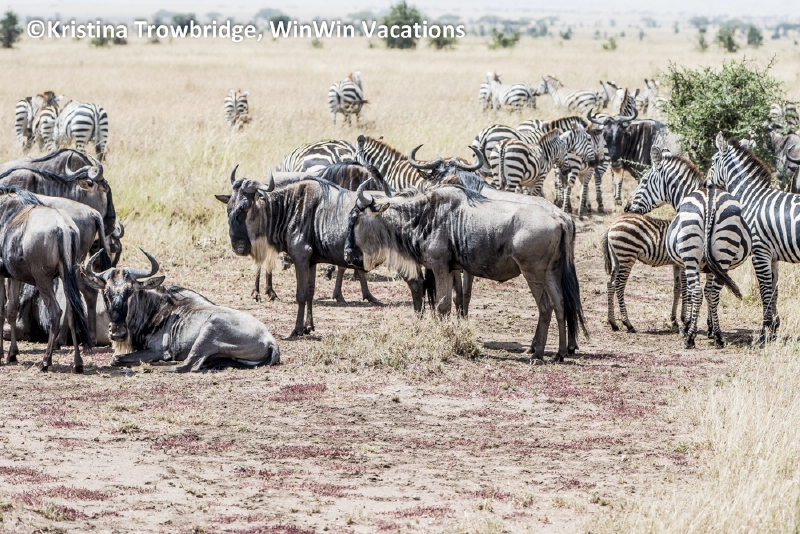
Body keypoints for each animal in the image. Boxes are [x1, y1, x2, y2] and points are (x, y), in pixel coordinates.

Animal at [626, 146, 751, 348]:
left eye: (644, 181)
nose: (627, 207)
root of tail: (710, 201)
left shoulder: (685, 262)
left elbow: (688, 291)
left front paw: (686, 324)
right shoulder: (711, 265)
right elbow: (709, 293)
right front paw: (710, 328)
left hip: (690, 256)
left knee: (697, 291)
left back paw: (690, 338)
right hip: (724, 253)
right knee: (714, 292)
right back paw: (719, 337)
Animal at [706, 133, 800, 343]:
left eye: (713, 161)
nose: (705, 185)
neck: (751, 198)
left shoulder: (759, 252)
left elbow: (765, 291)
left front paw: (764, 332)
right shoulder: (772, 256)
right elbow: (774, 291)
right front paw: (774, 329)